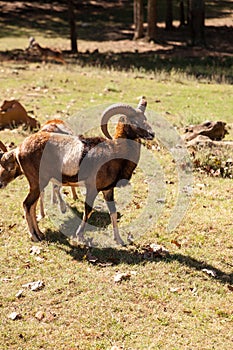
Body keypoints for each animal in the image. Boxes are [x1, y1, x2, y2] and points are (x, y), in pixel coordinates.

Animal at [0, 98, 155, 246]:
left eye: (145, 118)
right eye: (134, 121)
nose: (152, 134)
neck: (115, 153)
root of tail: (20, 149)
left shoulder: (108, 190)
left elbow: (113, 212)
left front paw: (119, 240)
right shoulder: (92, 188)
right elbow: (88, 210)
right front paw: (80, 236)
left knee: (32, 205)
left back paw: (40, 234)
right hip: (38, 183)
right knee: (27, 204)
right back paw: (35, 237)